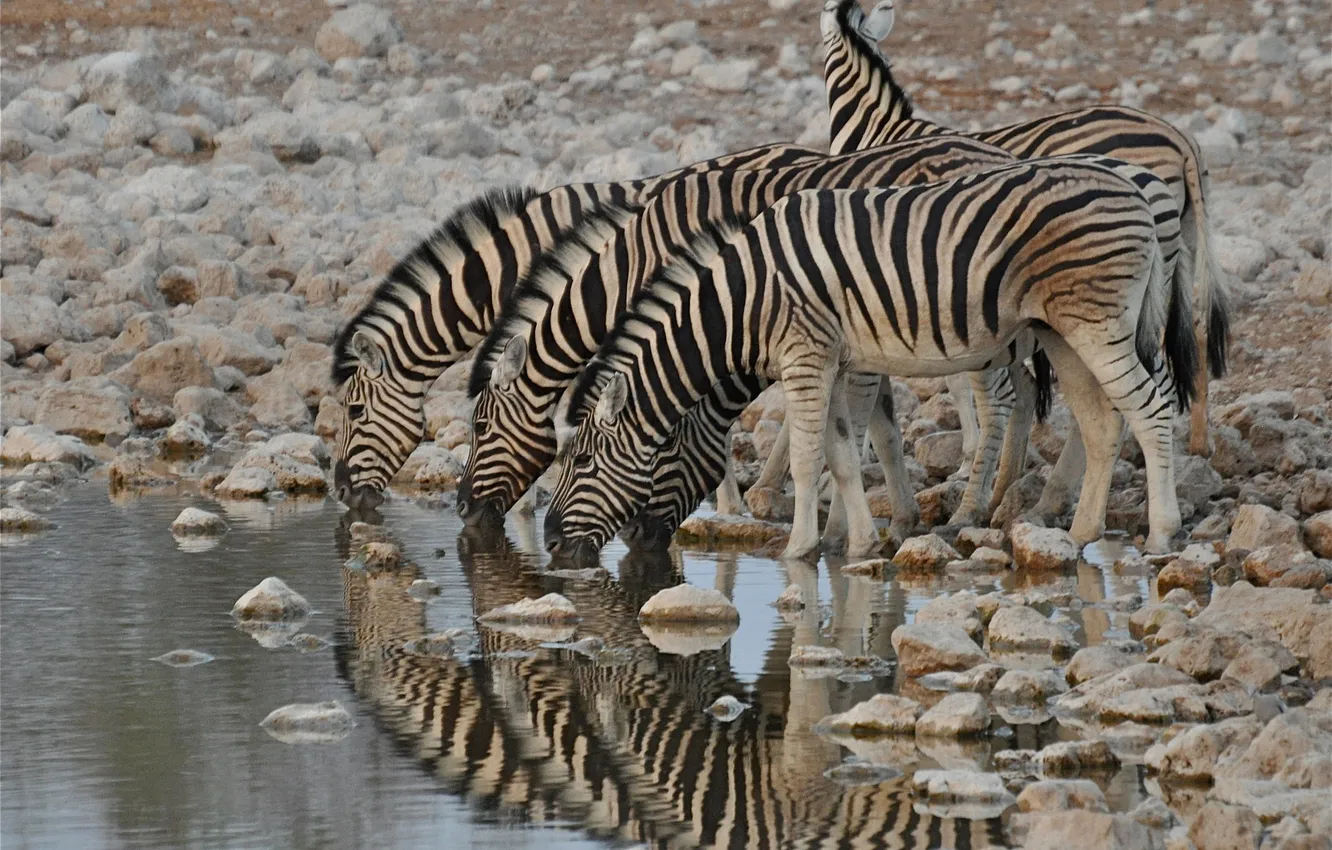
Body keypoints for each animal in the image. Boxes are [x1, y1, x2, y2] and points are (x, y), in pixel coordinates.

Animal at [456, 135, 1019, 555]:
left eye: (480, 428)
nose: (462, 508)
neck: (633, 261)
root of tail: (994, 153)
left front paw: (737, 506)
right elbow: (876, 425)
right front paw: (895, 516)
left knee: (1002, 399)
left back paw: (976, 506)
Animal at [543, 158, 1197, 563]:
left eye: (581, 463)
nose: (548, 542)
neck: (741, 301)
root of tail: (1138, 192)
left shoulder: (805, 356)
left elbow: (810, 458)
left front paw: (798, 549)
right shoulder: (836, 360)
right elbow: (842, 451)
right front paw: (857, 544)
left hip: (1098, 324)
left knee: (1150, 411)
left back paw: (1163, 532)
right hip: (1062, 332)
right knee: (1103, 422)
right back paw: (1083, 531)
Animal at [821, 0, 1230, 473]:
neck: (882, 129)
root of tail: (1179, 138)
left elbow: (952, 376)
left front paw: (965, 453)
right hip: (1180, 253)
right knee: (1192, 330)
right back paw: (1198, 443)